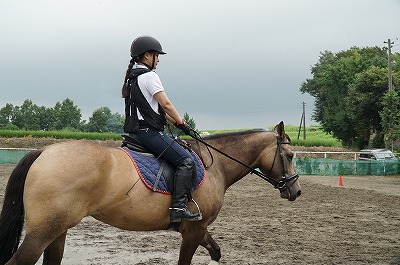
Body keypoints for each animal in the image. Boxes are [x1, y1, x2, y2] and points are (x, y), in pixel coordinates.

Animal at [0, 120, 300, 262]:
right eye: (289, 155)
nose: (295, 191)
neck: (215, 165)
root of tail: (43, 152)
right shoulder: (194, 229)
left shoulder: (197, 228)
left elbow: (215, 250)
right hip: (42, 233)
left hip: (58, 230)